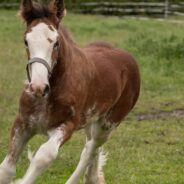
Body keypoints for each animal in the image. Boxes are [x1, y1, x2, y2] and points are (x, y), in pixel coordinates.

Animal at [0, 0, 139, 184]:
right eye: (26, 41)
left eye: (56, 43)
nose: (38, 87)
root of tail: (128, 57)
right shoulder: (23, 124)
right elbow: (6, 169)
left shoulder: (67, 126)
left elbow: (44, 156)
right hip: (91, 120)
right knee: (92, 148)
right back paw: (92, 178)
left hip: (108, 124)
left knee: (89, 150)